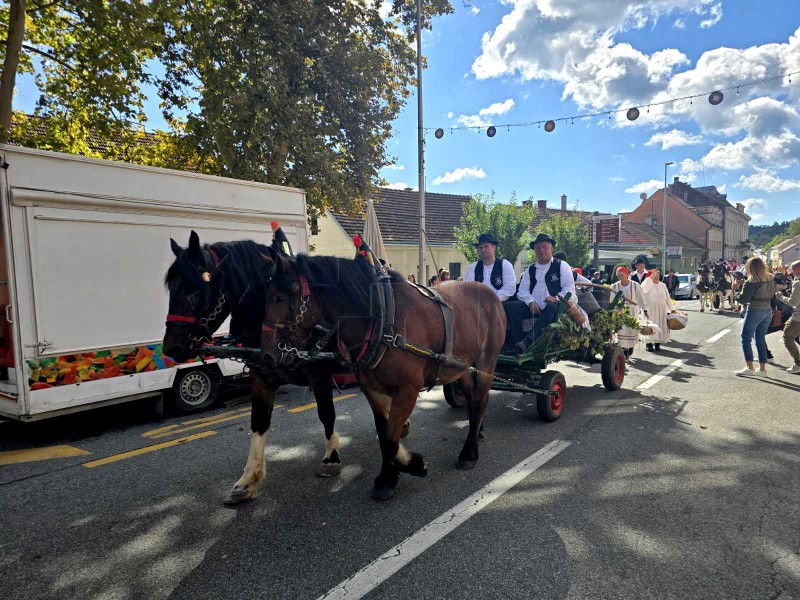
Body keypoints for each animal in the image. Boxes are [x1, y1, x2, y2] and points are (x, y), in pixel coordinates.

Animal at [164, 232, 346, 504]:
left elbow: (326, 414)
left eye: (193, 290)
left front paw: (331, 458)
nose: (171, 348)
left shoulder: (320, 374)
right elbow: (258, 422)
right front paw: (247, 480)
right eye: (171, 289)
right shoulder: (261, 378)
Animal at [258, 251, 506, 500]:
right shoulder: (373, 390)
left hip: (487, 360)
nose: (267, 356)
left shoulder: (407, 391)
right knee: (472, 396)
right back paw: (476, 431)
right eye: (266, 295)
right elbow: (385, 435)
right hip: (460, 367)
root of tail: (489, 293)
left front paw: (412, 465)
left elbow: (390, 438)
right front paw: (389, 476)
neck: (384, 320)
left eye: (280, 298)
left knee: (481, 399)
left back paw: (469, 452)